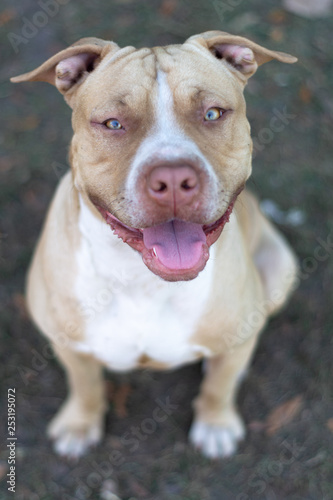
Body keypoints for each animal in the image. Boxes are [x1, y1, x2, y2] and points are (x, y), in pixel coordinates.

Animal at [10, 31, 296, 458]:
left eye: (213, 114)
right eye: (113, 123)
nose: (174, 179)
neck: (140, 278)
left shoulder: (236, 335)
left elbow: (219, 387)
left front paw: (216, 423)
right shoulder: (69, 345)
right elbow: (85, 386)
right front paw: (79, 424)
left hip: (279, 272)